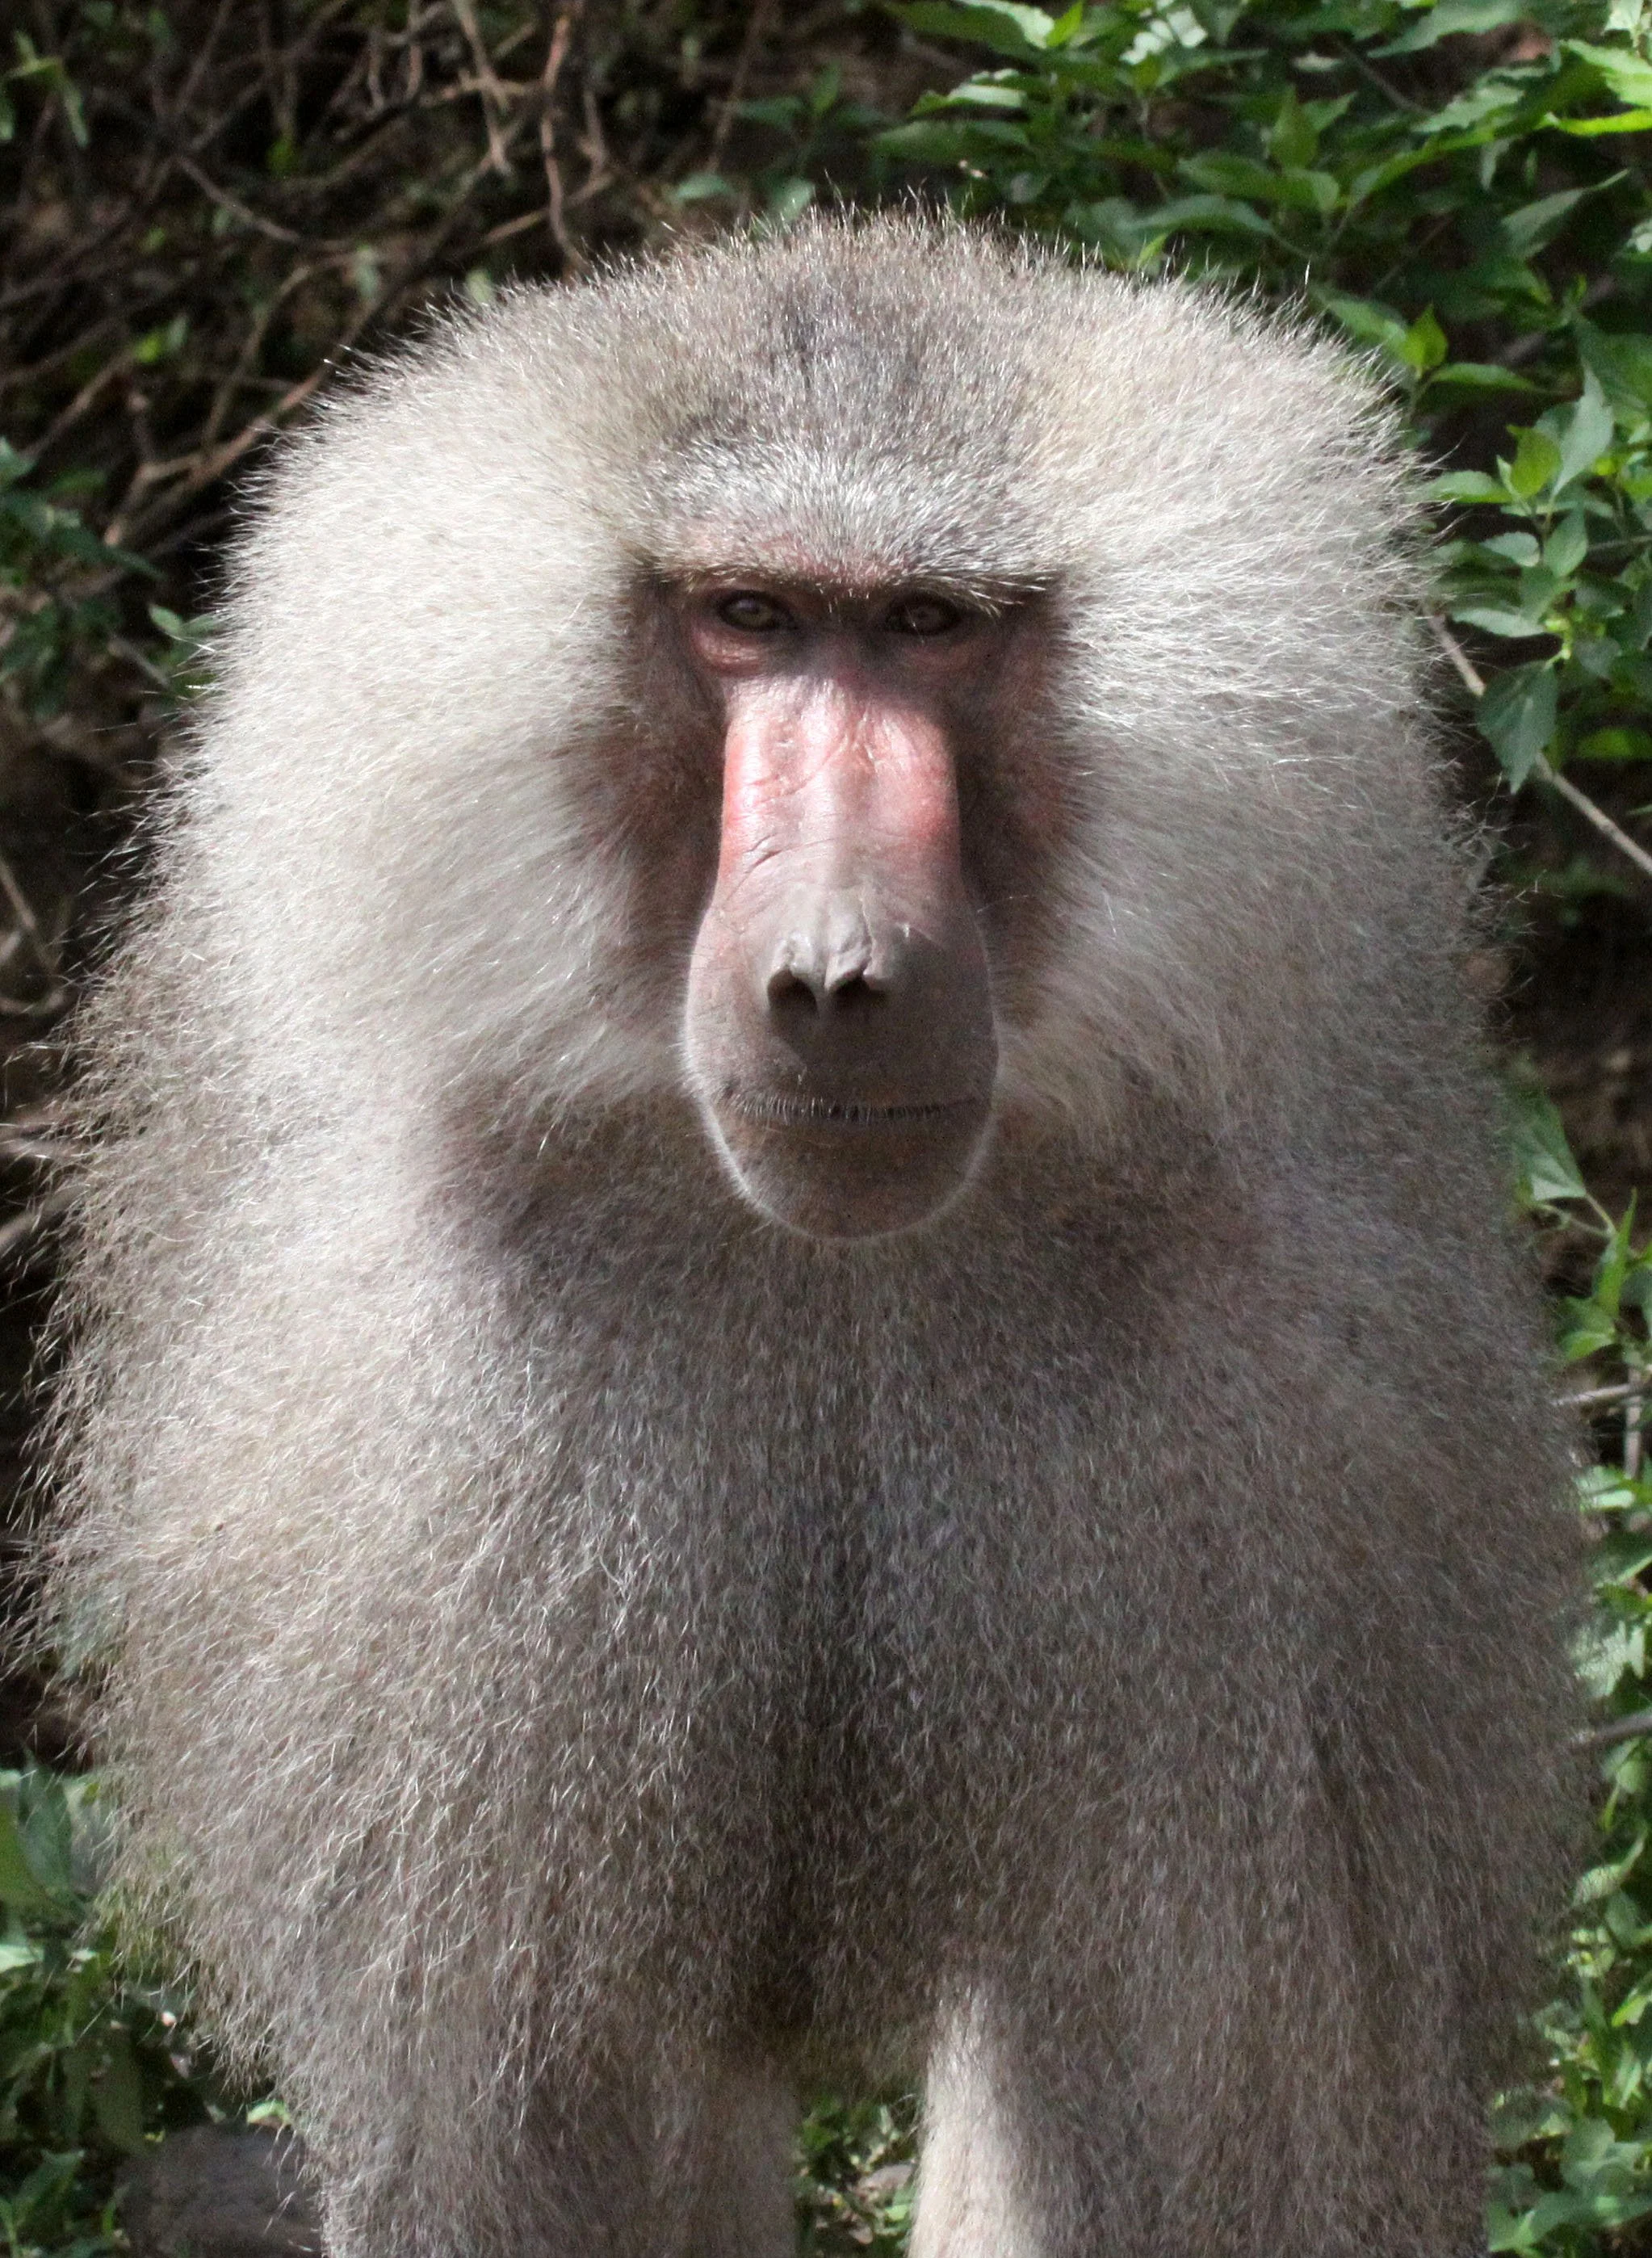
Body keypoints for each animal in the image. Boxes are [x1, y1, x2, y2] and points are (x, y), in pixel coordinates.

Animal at [42, 216, 1578, 2258]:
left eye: (928, 625)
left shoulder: (1276, 1461)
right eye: (748, 616)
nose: (840, 980)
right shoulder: (451, 1461)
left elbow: (1205, 2120)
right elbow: (561, 2123)